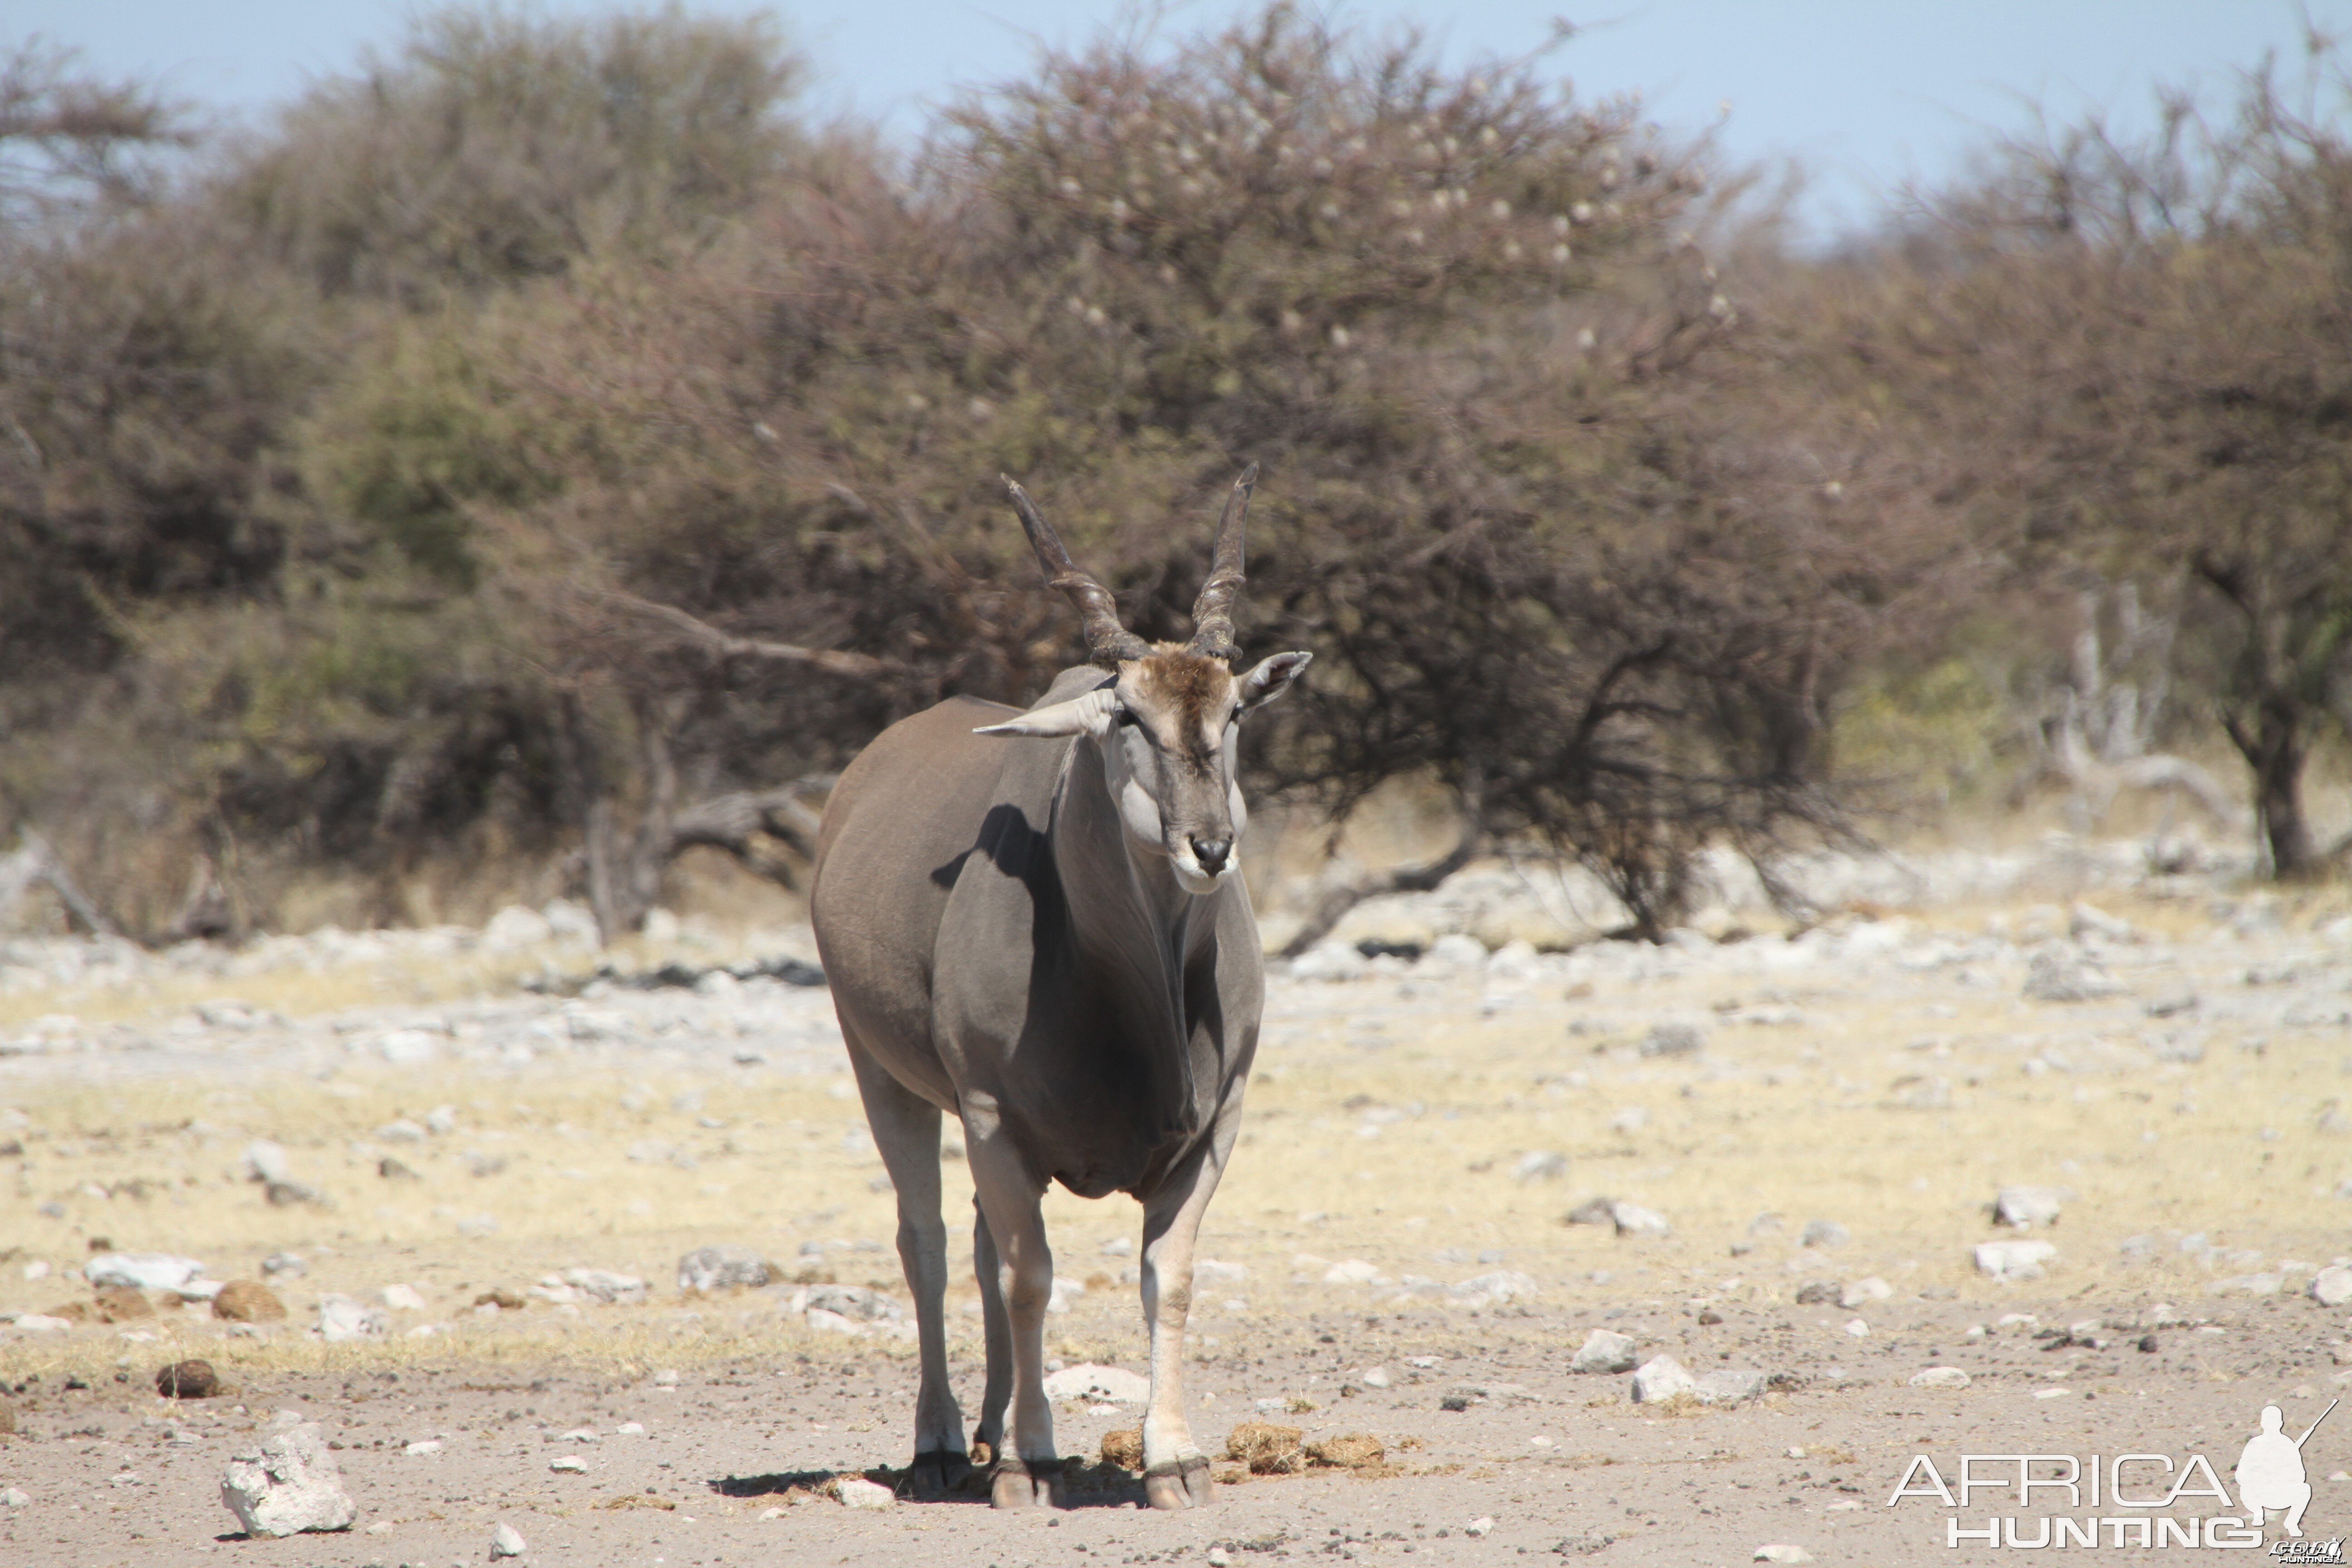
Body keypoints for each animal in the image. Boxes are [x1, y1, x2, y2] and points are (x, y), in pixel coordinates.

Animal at [813, 465, 1317, 1504]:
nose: (1211, 847)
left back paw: (989, 1426)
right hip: (885, 1077)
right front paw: (1029, 1461)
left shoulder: (1213, 1128)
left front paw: (1176, 1458)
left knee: (973, 1244)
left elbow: (1168, 1276)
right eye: (1126, 715)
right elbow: (1031, 1276)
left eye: (1233, 712)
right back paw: (943, 1443)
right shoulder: (994, 1119)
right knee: (928, 1244)